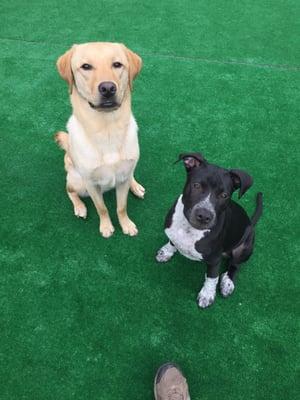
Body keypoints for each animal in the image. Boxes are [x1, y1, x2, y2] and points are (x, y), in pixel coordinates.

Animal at [157, 153, 262, 310]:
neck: (189, 228)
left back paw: (227, 282)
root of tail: (250, 223)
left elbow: (212, 277)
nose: (204, 216)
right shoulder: (173, 232)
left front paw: (207, 295)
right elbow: (172, 241)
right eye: (196, 185)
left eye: (224, 195)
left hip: (245, 247)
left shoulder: (214, 259)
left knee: (234, 265)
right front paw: (167, 251)